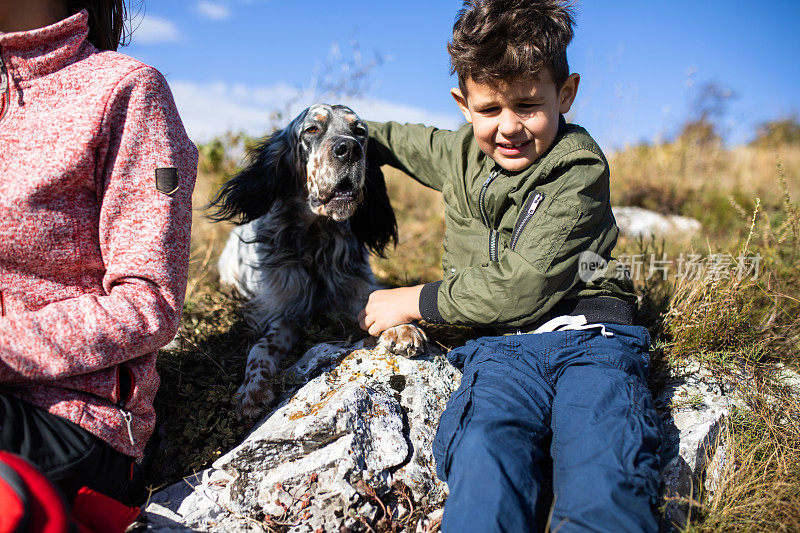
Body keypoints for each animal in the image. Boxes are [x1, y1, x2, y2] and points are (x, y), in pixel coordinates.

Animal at [209, 103, 428, 420]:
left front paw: (401, 327)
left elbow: (378, 300)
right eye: (311, 129)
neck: (317, 241)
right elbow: (260, 349)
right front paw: (252, 391)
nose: (349, 149)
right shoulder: (284, 314)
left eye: (359, 132)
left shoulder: (353, 289)